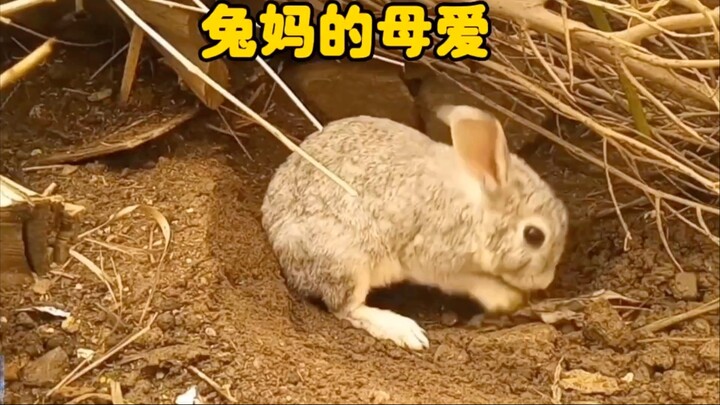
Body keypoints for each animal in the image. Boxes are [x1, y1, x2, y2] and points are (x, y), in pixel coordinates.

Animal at [261, 104, 569, 351]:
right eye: (534, 236)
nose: (545, 281)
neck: (478, 212)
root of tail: (272, 233)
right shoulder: (436, 259)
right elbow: (467, 281)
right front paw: (507, 298)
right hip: (346, 260)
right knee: (346, 308)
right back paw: (404, 331)